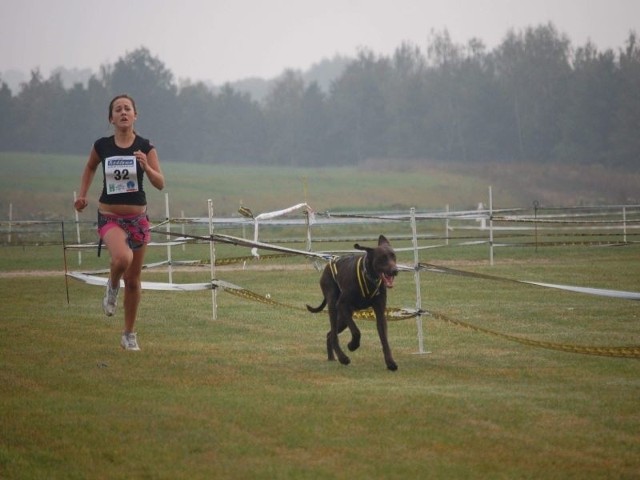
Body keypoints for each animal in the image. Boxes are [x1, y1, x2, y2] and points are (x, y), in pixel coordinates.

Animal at [306, 236, 400, 372]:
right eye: (382, 258)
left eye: (393, 256)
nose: (395, 270)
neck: (369, 277)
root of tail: (329, 264)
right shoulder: (342, 305)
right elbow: (356, 331)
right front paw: (352, 345)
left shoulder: (380, 311)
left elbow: (384, 339)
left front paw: (390, 362)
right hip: (334, 305)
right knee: (333, 335)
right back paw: (342, 357)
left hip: (343, 319)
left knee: (330, 334)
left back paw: (332, 357)